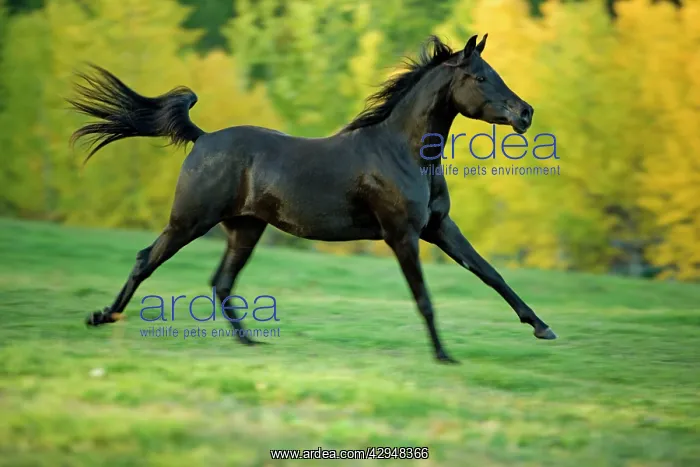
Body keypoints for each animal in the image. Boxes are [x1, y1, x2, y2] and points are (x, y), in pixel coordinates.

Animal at [68, 34, 556, 364]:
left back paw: (249, 341)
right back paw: (102, 316)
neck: (403, 152)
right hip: (190, 220)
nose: (526, 113)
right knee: (145, 260)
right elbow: (423, 296)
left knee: (221, 282)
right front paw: (443, 355)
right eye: (480, 77)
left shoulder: (438, 228)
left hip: (245, 228)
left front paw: (543, 328)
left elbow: (490, 273)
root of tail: (203, 138)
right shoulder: (402, 235)